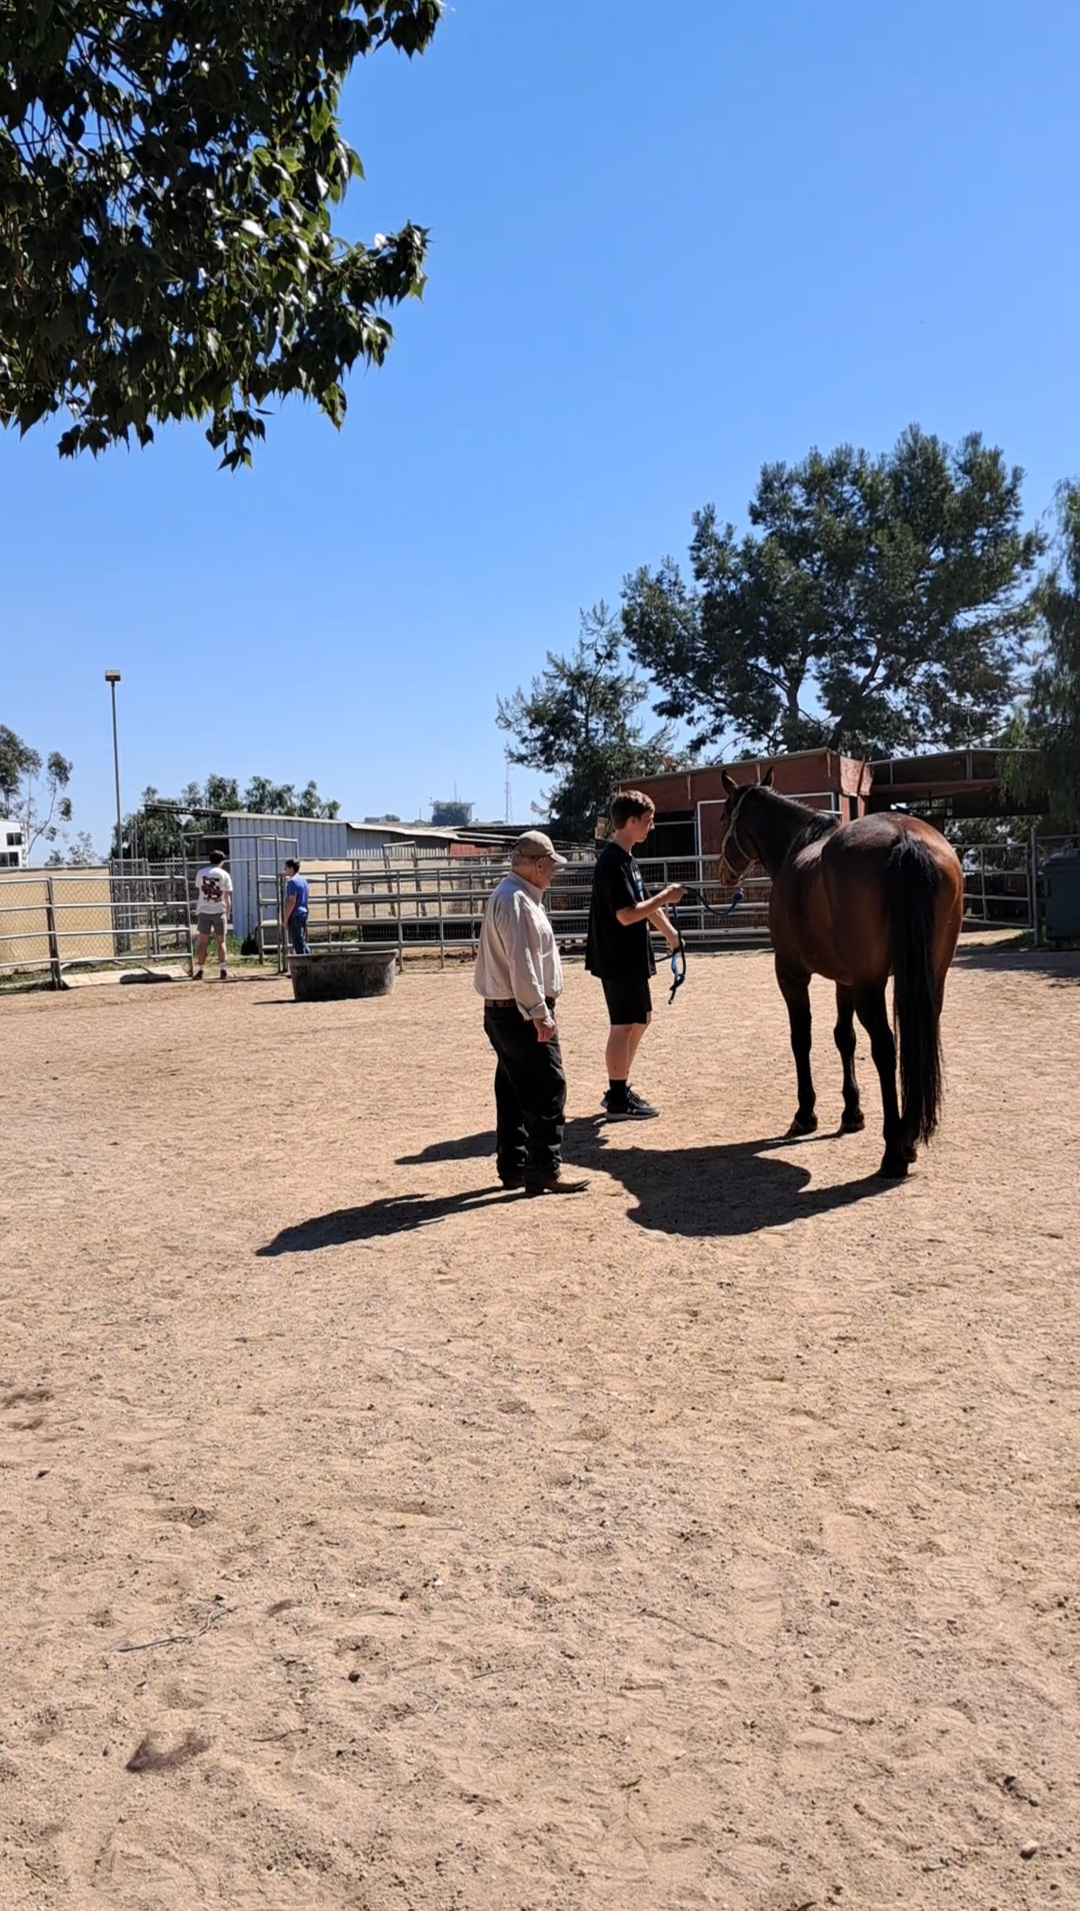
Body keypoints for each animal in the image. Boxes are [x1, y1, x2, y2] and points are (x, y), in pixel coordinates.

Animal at [715, 769, 964, 1178]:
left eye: (723, 817)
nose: (723, 872)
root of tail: (905, 839)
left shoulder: (791, 973)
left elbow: (801, 1038)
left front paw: (805, 1114)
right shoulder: (844, 980)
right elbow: (844, 1038)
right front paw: (852, 1113)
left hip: (870, 986)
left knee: (886, 1048)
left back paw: (894, 1151)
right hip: (930, 981)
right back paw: (909, 1138)